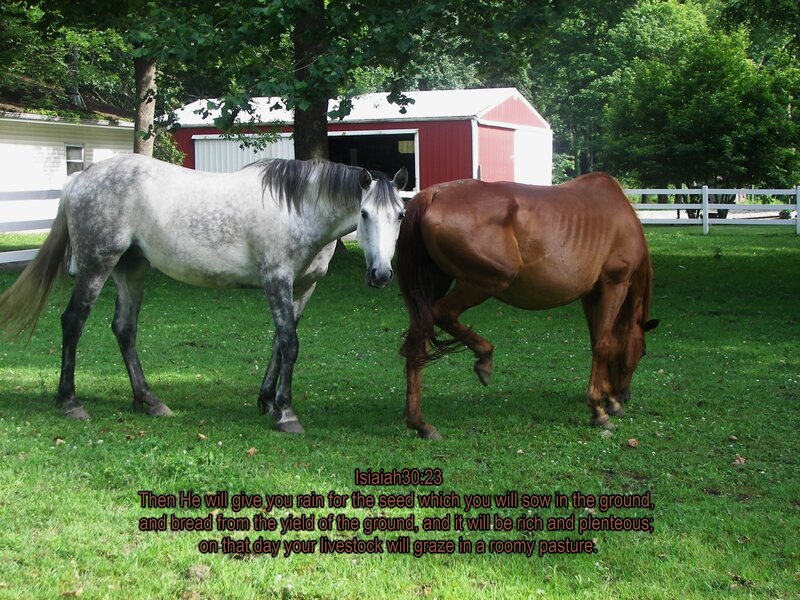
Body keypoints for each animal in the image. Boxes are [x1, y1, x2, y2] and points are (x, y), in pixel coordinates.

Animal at [0, 154, 408, 433]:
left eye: (401, 215)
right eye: (365, 214)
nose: (381, 275)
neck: (299, 209)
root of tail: (80, 178)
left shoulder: (303, 288)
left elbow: (280, 343)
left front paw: (268, 402)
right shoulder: (276, 280)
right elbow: (290, 343)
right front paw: (287, 414)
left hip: (131, 269)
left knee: (124, 329)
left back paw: (149, 401)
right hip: (96, 265)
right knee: (73, 322)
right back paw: (71, 402)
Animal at [396, 173, 658, 439]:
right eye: (643, 351)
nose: (624, 396)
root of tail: (435, 194)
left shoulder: (591, 295)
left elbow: (599, 340)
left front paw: (607, 400)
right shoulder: (615, 285)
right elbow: (605, 345)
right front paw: (601, 409)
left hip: (437, 284)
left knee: (419, 337)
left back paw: (420, 423)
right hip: (488, 281)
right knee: (440, 316)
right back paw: (484, 358)